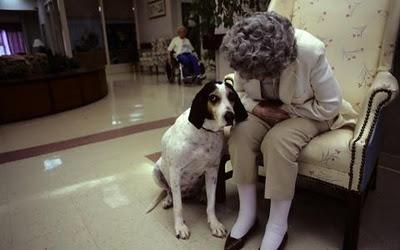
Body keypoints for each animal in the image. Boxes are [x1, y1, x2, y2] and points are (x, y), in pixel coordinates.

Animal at [147, 81, 247, 239]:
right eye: (213, 98)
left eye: (232, 96)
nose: (230, 116)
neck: (204, 132)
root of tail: (187, 194)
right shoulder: (175, 171)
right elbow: (178, 207)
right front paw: (180, 227)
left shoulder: (212, 171)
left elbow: (211, 204)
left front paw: (214, 224)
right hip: (157, 172)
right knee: (168, 190)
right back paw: (168, 200)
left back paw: (201, 195)